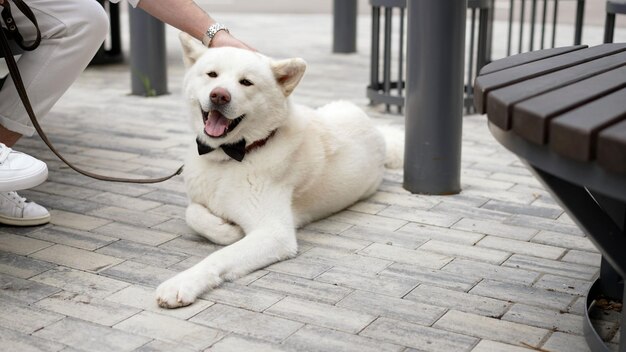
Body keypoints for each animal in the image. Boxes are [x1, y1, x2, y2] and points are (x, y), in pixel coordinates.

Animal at [154, 33, 402, 308]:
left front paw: (183, 282)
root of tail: (378, 132)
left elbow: (218, 257)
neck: (230, 157)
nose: (219, 95)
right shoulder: (200, 200)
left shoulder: (274, 234)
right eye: (212, 75)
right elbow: (193, 213)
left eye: (246, 82)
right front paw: (226, 229)